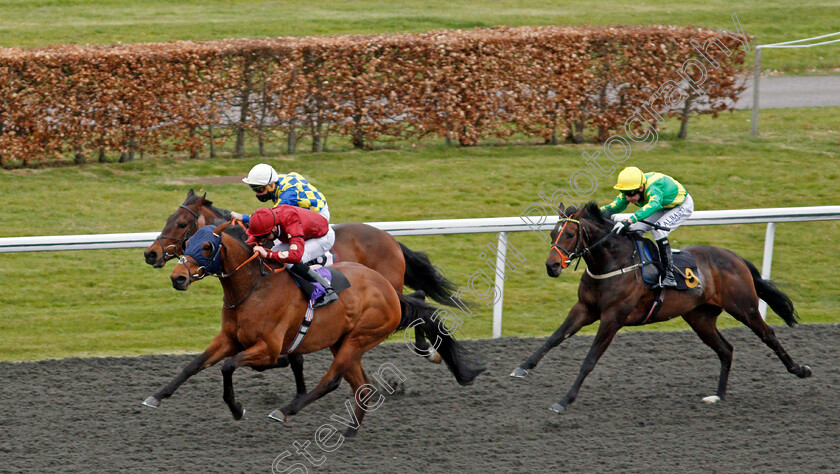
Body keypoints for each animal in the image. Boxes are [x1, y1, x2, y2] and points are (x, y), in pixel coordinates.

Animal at [144, 224, 486, 436]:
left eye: (206, 246)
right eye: (187, 243)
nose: (177, 277)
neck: (253, 289)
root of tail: (388, 292)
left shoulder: (267, 349)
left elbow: (229, 366)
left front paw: (237, 409)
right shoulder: (229, 338)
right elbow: (193, 365)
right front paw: (157, 396)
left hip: (359, 338)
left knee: (332, 381)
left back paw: (286, 411)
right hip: (343, 341)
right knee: (363, 387)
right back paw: (349, 432)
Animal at [508, 202, 812, 412]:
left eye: (571, 233)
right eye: (552, 233)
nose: (551, 266)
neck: (614, 263)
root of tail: (735, 257)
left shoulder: (612, 317)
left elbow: (589, 360)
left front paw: (564, 400)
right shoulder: (584, 308)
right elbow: (555, 337)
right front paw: (522, 367)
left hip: (744, 307)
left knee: (768, 335)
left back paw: (800, 370)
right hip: (700, 318)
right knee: (726, 349)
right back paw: (718, 395)